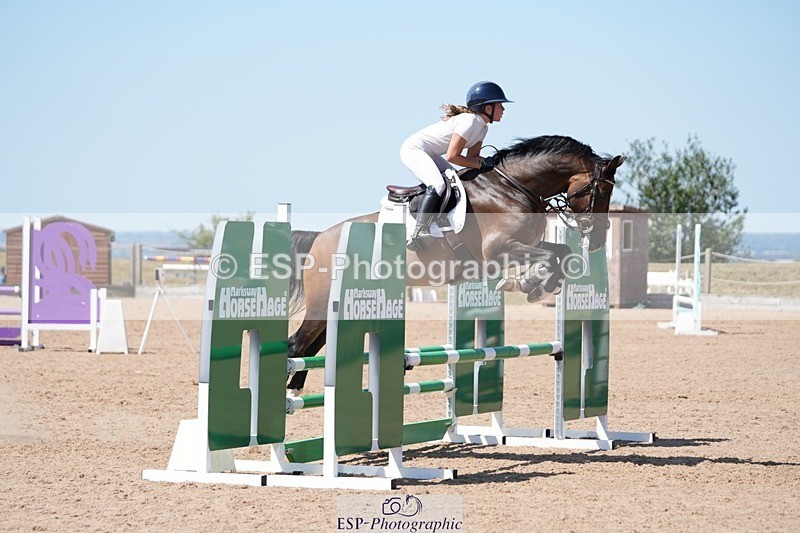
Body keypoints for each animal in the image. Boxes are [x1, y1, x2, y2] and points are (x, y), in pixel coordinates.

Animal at [286, 135, 624, 391]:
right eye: (602, 191)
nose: (598, 241)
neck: (512, 188)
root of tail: (319, 238)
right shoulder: (499, 251)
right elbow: (552, 257)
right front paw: (528, 283)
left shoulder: (522, 245)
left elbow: (560, 253)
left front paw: (535, 283)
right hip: (321, 304)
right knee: (296, 345)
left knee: (311, 347)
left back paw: (296, 389)